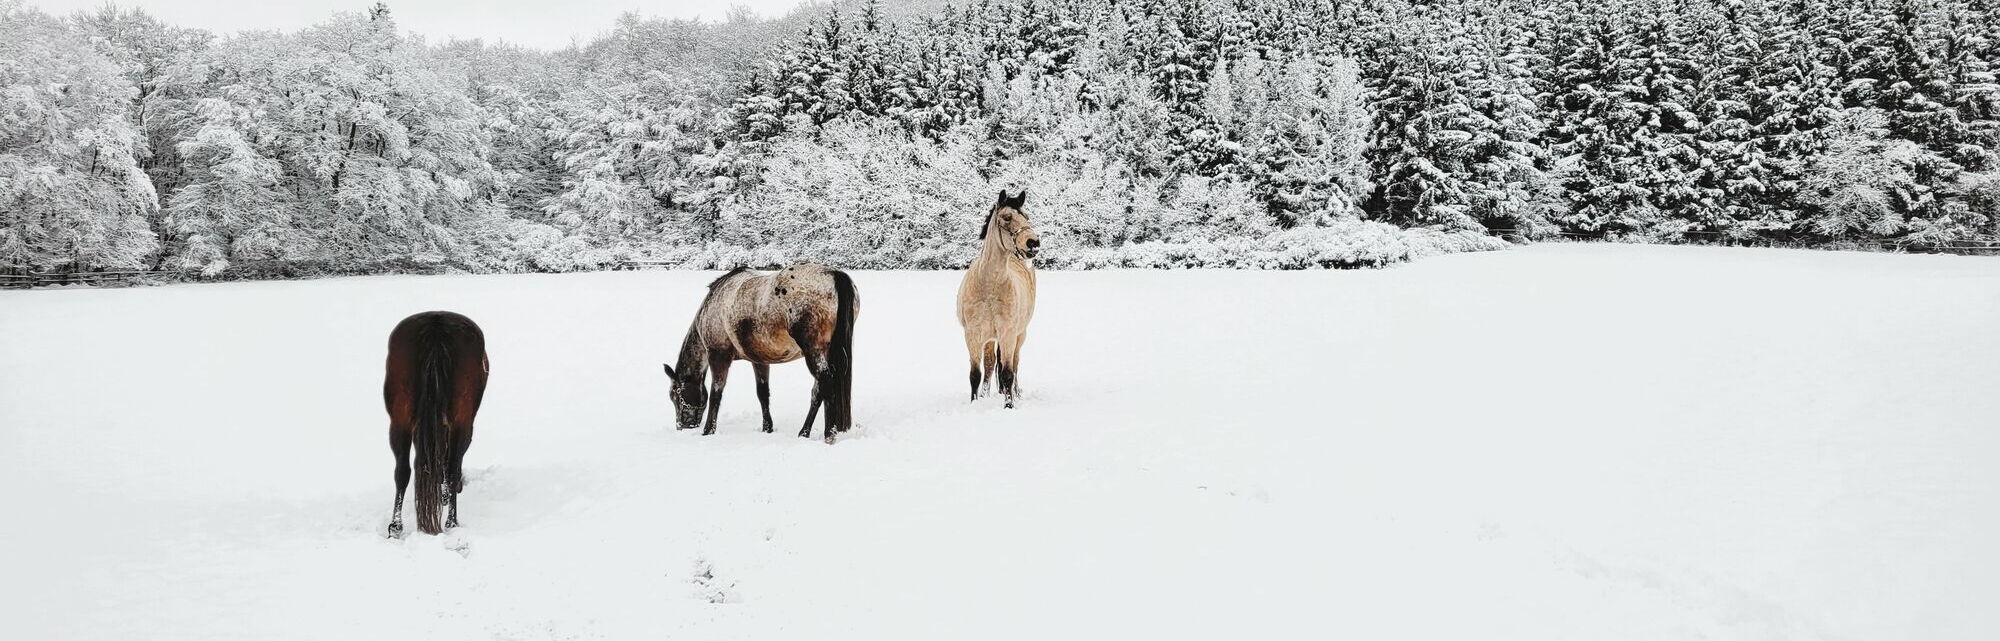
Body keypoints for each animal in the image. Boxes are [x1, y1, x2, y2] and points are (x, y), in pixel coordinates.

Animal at [383, 311, 488, 537]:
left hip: (400, 419)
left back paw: (395, 527)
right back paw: (452, 522)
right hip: (462, 421)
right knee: (453, 467)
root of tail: (436, 324)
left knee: (402, 471)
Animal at [662, 263, 859, 443]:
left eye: (675, 395)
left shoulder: (718, 356)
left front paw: (708, 430)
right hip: (825, 352)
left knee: (826, 384)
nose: (682, 426)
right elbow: (763, 393)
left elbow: (716, 393)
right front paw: (767, 428)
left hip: (814, 351)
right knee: (818, 392)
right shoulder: (759, 360)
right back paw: (804, 432)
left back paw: (829, 434)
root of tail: (832, 274)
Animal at [958, 189, 1041, 408]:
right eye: (1007, 217)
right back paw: (986, 395)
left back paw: (1015, 394)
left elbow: (1007, 373)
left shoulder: (1008, 333)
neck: (988, 286)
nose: (1033, 243)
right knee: (989, 365)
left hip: (1019, 335)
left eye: (1026, 216)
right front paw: (974, 403)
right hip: (989, 338)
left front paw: (1009, 405)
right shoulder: (973, 335)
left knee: (1015, 365)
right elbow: (975, 375)